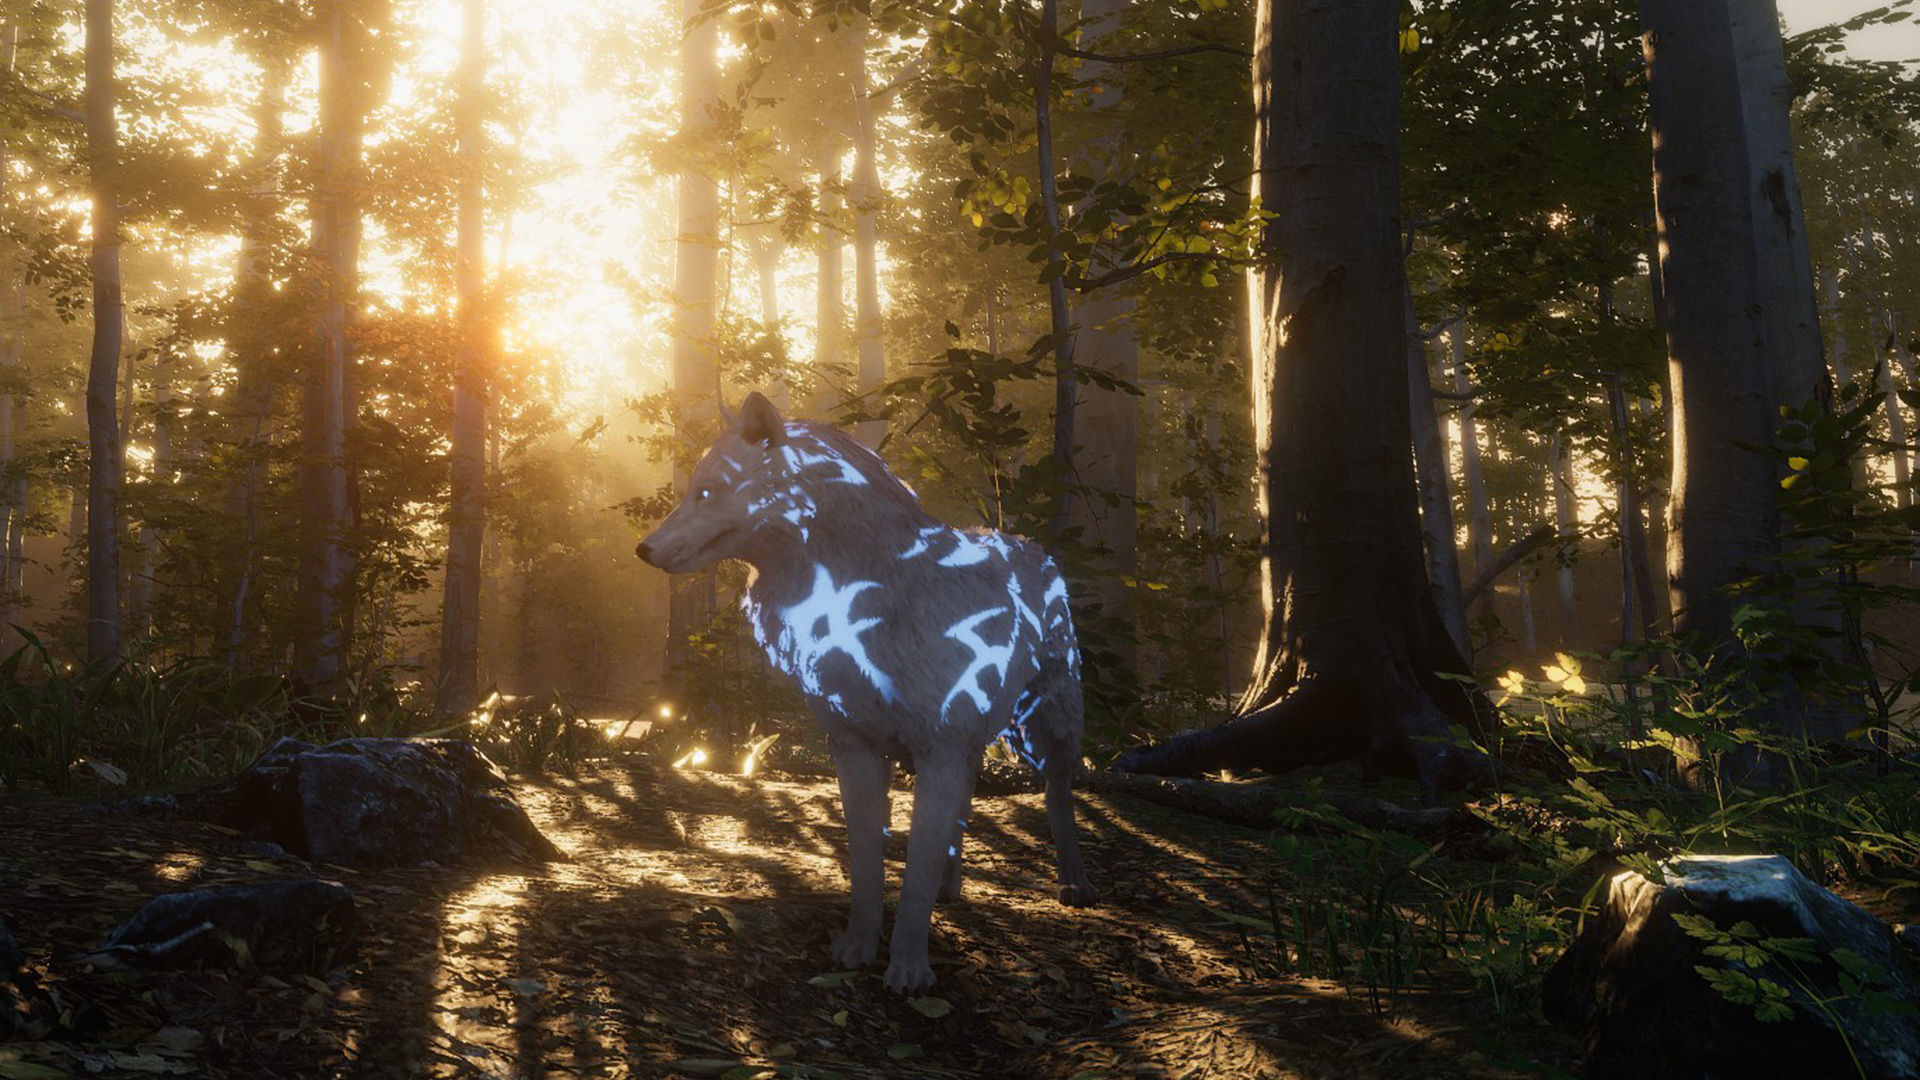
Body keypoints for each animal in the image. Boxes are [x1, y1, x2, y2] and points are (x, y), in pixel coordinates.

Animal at [636, 392, 1097, 991]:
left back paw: (1074, 883)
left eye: (706, 491)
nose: (642, 549)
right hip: (976, 744)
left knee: (1058, 795)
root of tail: (1025, 541)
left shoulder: (939, 748)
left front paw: (908, 968)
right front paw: (857, 946)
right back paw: (953, 886)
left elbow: (915, 871)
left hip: (1045, 727)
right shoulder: (856, 748)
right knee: (966, 809)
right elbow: (868, 864)